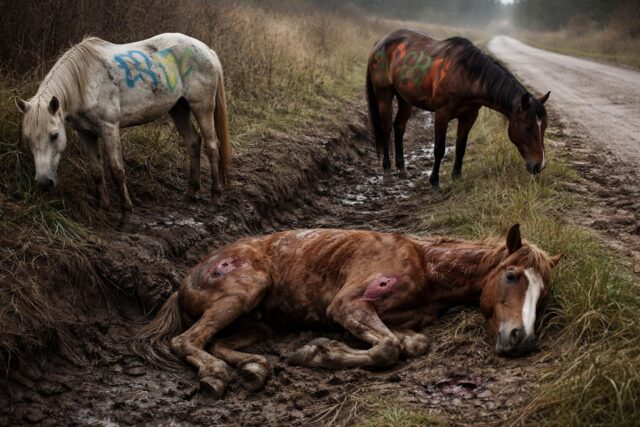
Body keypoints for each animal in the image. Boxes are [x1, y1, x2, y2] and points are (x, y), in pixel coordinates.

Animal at [15, 33, 231, 223]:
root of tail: (207, 50)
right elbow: (97, 171)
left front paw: (127, 214)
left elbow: (117, 170)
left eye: (54, 135)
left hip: (202, 107)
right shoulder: (84, 134)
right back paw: (190, 193)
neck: (84, 82)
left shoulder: (109, 129)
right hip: (179, 109)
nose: (44, 182)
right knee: (193, 143)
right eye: (28, 139)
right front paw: (103, 209)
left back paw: (215, 198)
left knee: (212, 146)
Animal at [136, 224, 561, 398]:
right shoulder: (347, 305)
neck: (427, 265)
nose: (521, 339)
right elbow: (388, 348)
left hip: (258, 323)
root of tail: (183, 282)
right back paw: (216, 376)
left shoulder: (403, 319)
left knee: (217, 342)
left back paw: (254, 368)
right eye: (511, 276)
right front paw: (317, 352)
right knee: (186, 340)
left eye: (543, 294)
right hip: (245, 291)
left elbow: (412, 344)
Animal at [366, 29, 551, 186]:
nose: (539, 165)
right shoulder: (442, 114)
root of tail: (380, 43)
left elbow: (461, 147)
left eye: (544, 127)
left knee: (399, 127)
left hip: (405, 99)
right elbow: (439, 149)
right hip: (384, 95)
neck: (465, 75)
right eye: (527, 127)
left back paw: (402, 170)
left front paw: (457, 176)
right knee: (386, 129)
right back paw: (387, 173)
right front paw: (434, 181)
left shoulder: (469, 116)